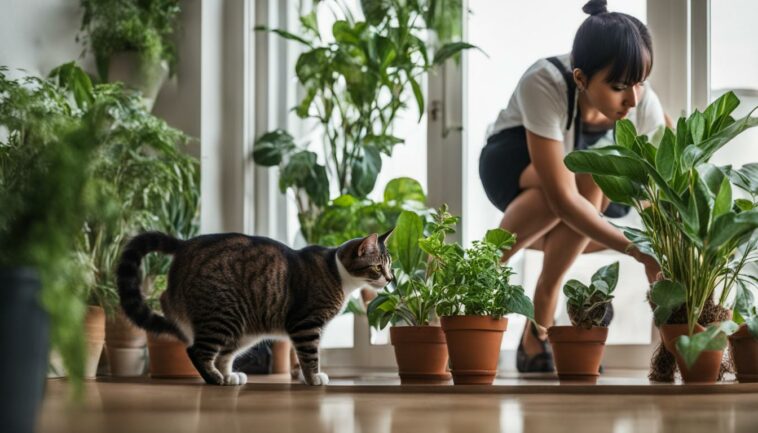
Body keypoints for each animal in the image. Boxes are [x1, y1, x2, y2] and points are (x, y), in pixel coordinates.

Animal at [117, 230, 398, 384]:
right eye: (377, 267)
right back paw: (214, 379)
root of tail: (186, 243)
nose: (390, 279)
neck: (337, 272)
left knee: (223, 354)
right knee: (196, 350)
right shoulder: (306, 324)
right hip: (223, 314)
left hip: (242, 331)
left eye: (390, 265)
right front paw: (313, 378)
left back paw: (229, 376)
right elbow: (310, 355)